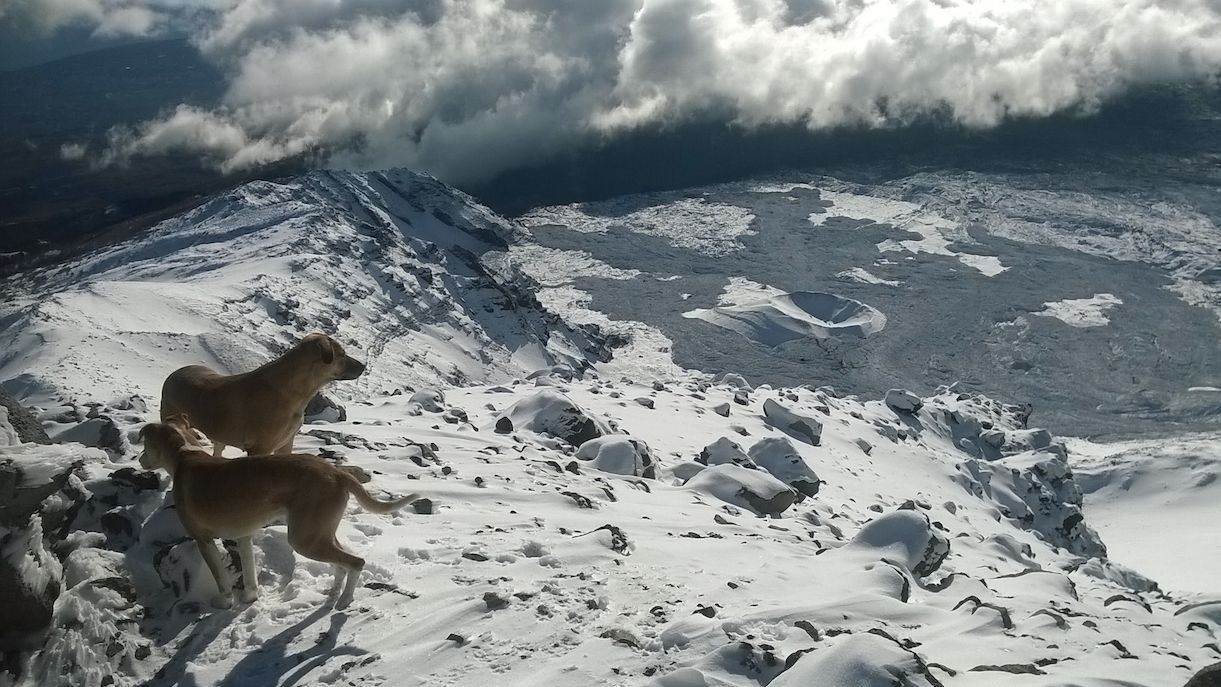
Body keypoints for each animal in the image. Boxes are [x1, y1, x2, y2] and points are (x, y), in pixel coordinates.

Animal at [139, 417, 420, 610]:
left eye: (145, 445)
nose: (140, 460)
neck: (184, 456)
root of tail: (338, 472)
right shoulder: (244, 536)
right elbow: (250, 576)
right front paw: (250, 599)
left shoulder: (203, 540)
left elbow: (222, 580)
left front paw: (225, 603)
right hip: (319, 533)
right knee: (343, 562)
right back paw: (333, 595)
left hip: (304, 539)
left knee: (356, 562)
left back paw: (344, 600)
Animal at [159, 334, 363, 456]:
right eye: (342, 354)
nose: (363, 366)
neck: (296, 392)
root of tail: (173, 374)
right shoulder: (260, 448)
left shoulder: (286, 443)